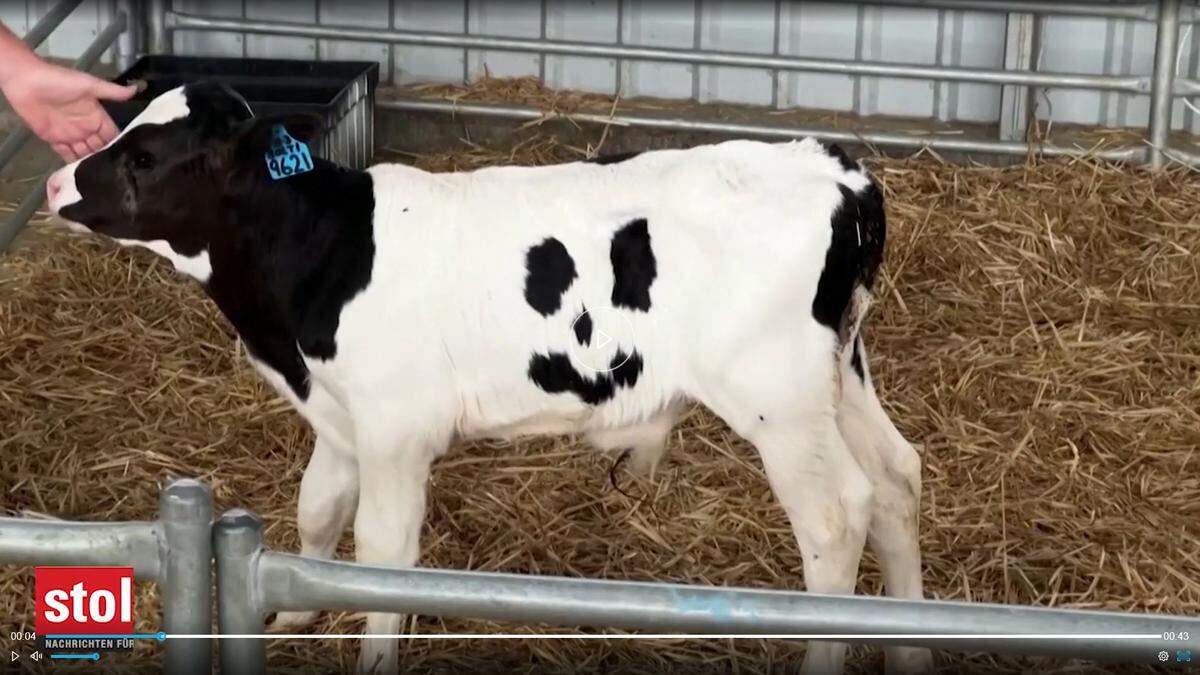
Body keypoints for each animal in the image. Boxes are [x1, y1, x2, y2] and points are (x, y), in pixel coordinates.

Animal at [44, 84, 926, 672]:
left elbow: (382, 551)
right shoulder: (342, 417)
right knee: (897, 480)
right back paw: (915, 642)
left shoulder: (396, 428)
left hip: (778, 400)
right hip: (841, 376)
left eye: (146, 155)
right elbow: (318, 510)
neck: (325, 250)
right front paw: (290, 610)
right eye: (127, 124)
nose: (56, 182)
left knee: (837, 517)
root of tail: (837, 171)